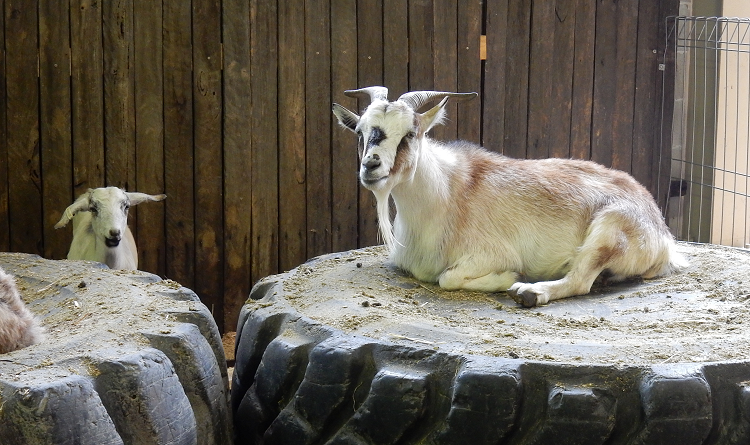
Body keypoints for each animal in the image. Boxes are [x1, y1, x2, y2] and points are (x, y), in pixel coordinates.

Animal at [334, 86, 688, 306]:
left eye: (410, 133)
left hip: (608, 231)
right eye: (359, 132)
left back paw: (529, 292)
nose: (371, 166)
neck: (446, 192)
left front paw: (509, 278)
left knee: (580, 281)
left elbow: (448, 278)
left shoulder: (490, 254)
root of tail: (662, 233)